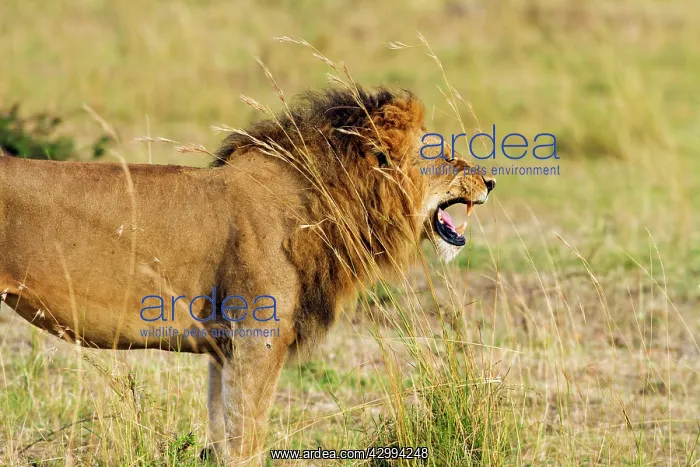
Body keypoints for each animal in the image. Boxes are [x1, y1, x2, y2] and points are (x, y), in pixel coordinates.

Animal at [0, 86, 494, 465]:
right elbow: (248, 440)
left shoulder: (226, 349)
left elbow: (225, 434)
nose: (489, 182)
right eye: (444, 156)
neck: (320, 207)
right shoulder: (259, 337)